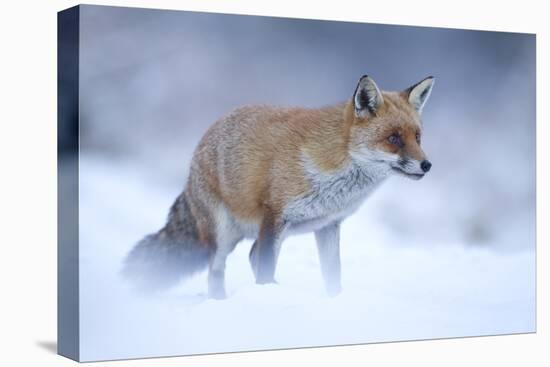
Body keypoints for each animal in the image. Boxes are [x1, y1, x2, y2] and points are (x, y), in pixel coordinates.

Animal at [123, 74, 438, 300]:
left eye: (417, 137)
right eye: (393, 138)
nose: (427, 165)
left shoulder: (328, 224)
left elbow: (332, 276)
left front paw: (334, 301)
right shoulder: (274, 214)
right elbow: (265, 269)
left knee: (250, 256)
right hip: (225, 234)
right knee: (216, 271)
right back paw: (221, 303)